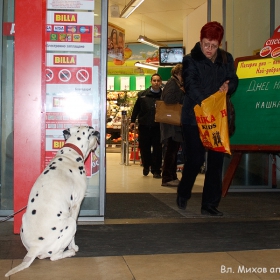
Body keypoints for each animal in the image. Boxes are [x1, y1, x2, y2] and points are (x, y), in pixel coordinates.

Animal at [5, 127, 99, 278]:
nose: (98, 141)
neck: (71, 153)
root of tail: (35, 247)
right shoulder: (76, 206)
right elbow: (73, 237)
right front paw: (73, 246)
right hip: (70, 224)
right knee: (54, 256)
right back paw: (69, 252)